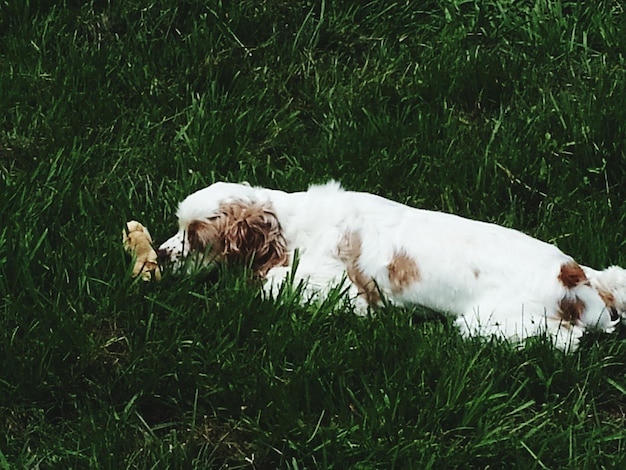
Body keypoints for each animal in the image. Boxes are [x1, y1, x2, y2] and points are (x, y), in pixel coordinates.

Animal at [157, 182, 624, 350]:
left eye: (194, 238)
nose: (160, 254)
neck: (292, 222)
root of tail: (578, 277)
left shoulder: (336, 289)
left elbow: (272, 283)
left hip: (488, 322)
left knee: (569, 339)